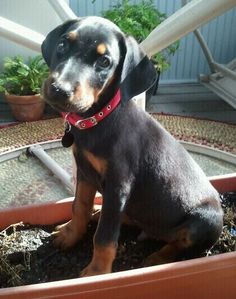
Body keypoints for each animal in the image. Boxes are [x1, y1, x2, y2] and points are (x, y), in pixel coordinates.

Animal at [41, 16, 223, 278]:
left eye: (104, 61)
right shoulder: (85, 173)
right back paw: (99, 214)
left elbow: (105, 237)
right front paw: (71, 234)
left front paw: (97, 273)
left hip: (205, 220)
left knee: (179, 243)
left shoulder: (119, 185)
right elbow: (79, 206)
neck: (98, 120)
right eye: (63, 44)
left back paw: (157, 259)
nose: (59, 90)